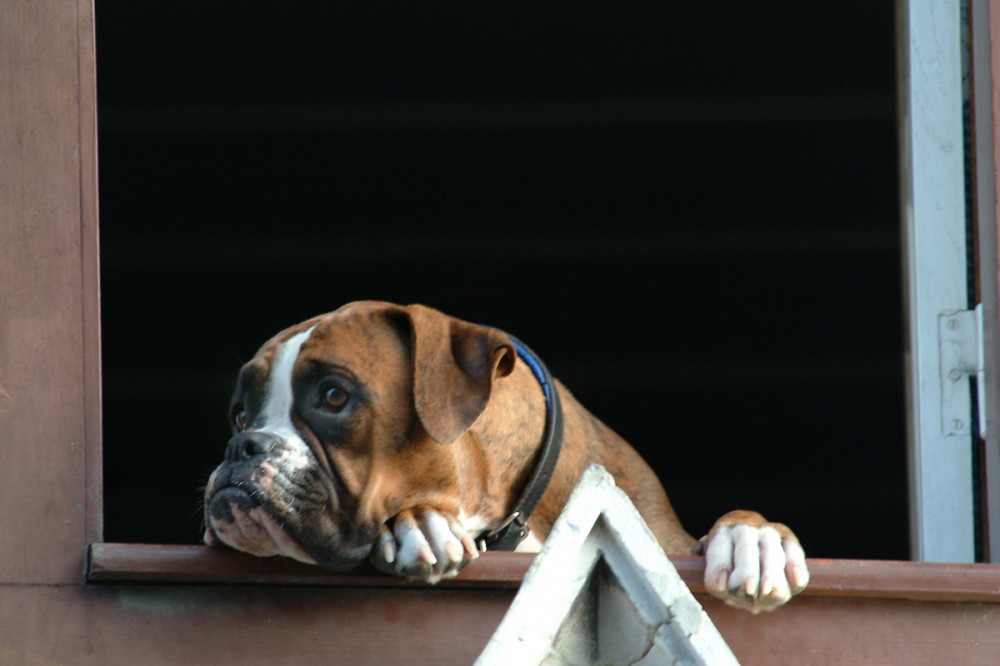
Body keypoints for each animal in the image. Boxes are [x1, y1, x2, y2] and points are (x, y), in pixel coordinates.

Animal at [203, 300, 804, 612]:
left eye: (333, 396)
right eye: (239, 414)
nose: (242, 446)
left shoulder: (667, 542)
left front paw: (755, 539)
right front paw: (418, 524)